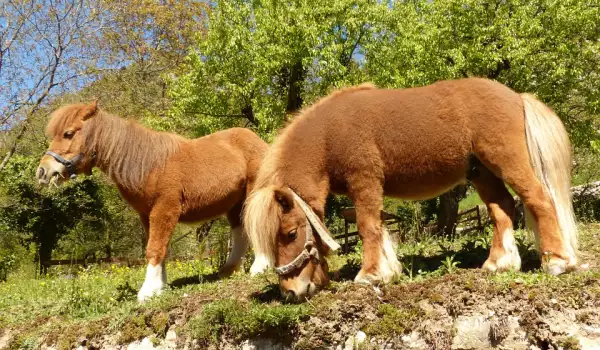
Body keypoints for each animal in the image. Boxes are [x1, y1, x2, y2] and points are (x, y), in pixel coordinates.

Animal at [38, 101, 270, 300]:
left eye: (68, 133)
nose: (43, 171)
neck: (148, 164)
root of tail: (257, 141)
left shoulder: (164, 210)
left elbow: (155, 248)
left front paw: (147, 291)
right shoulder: (147, 215)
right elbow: (160, 248)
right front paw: (160, 287)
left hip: (252, 193)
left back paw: (259, 267)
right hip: (235, 203)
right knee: (240, 231)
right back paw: (229, 270)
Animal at [245, 77, 580, 300]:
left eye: (290, 233)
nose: (290, 292)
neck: (330, 135)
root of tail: (516, 96)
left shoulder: (365, 180)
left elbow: (367, 227)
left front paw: (369, 275)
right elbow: (379, 227)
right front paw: (388, 270)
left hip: (506, 162)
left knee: (538, 199)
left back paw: (558, 261)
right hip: (482, 172)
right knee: (502, 209)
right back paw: (499, 263)